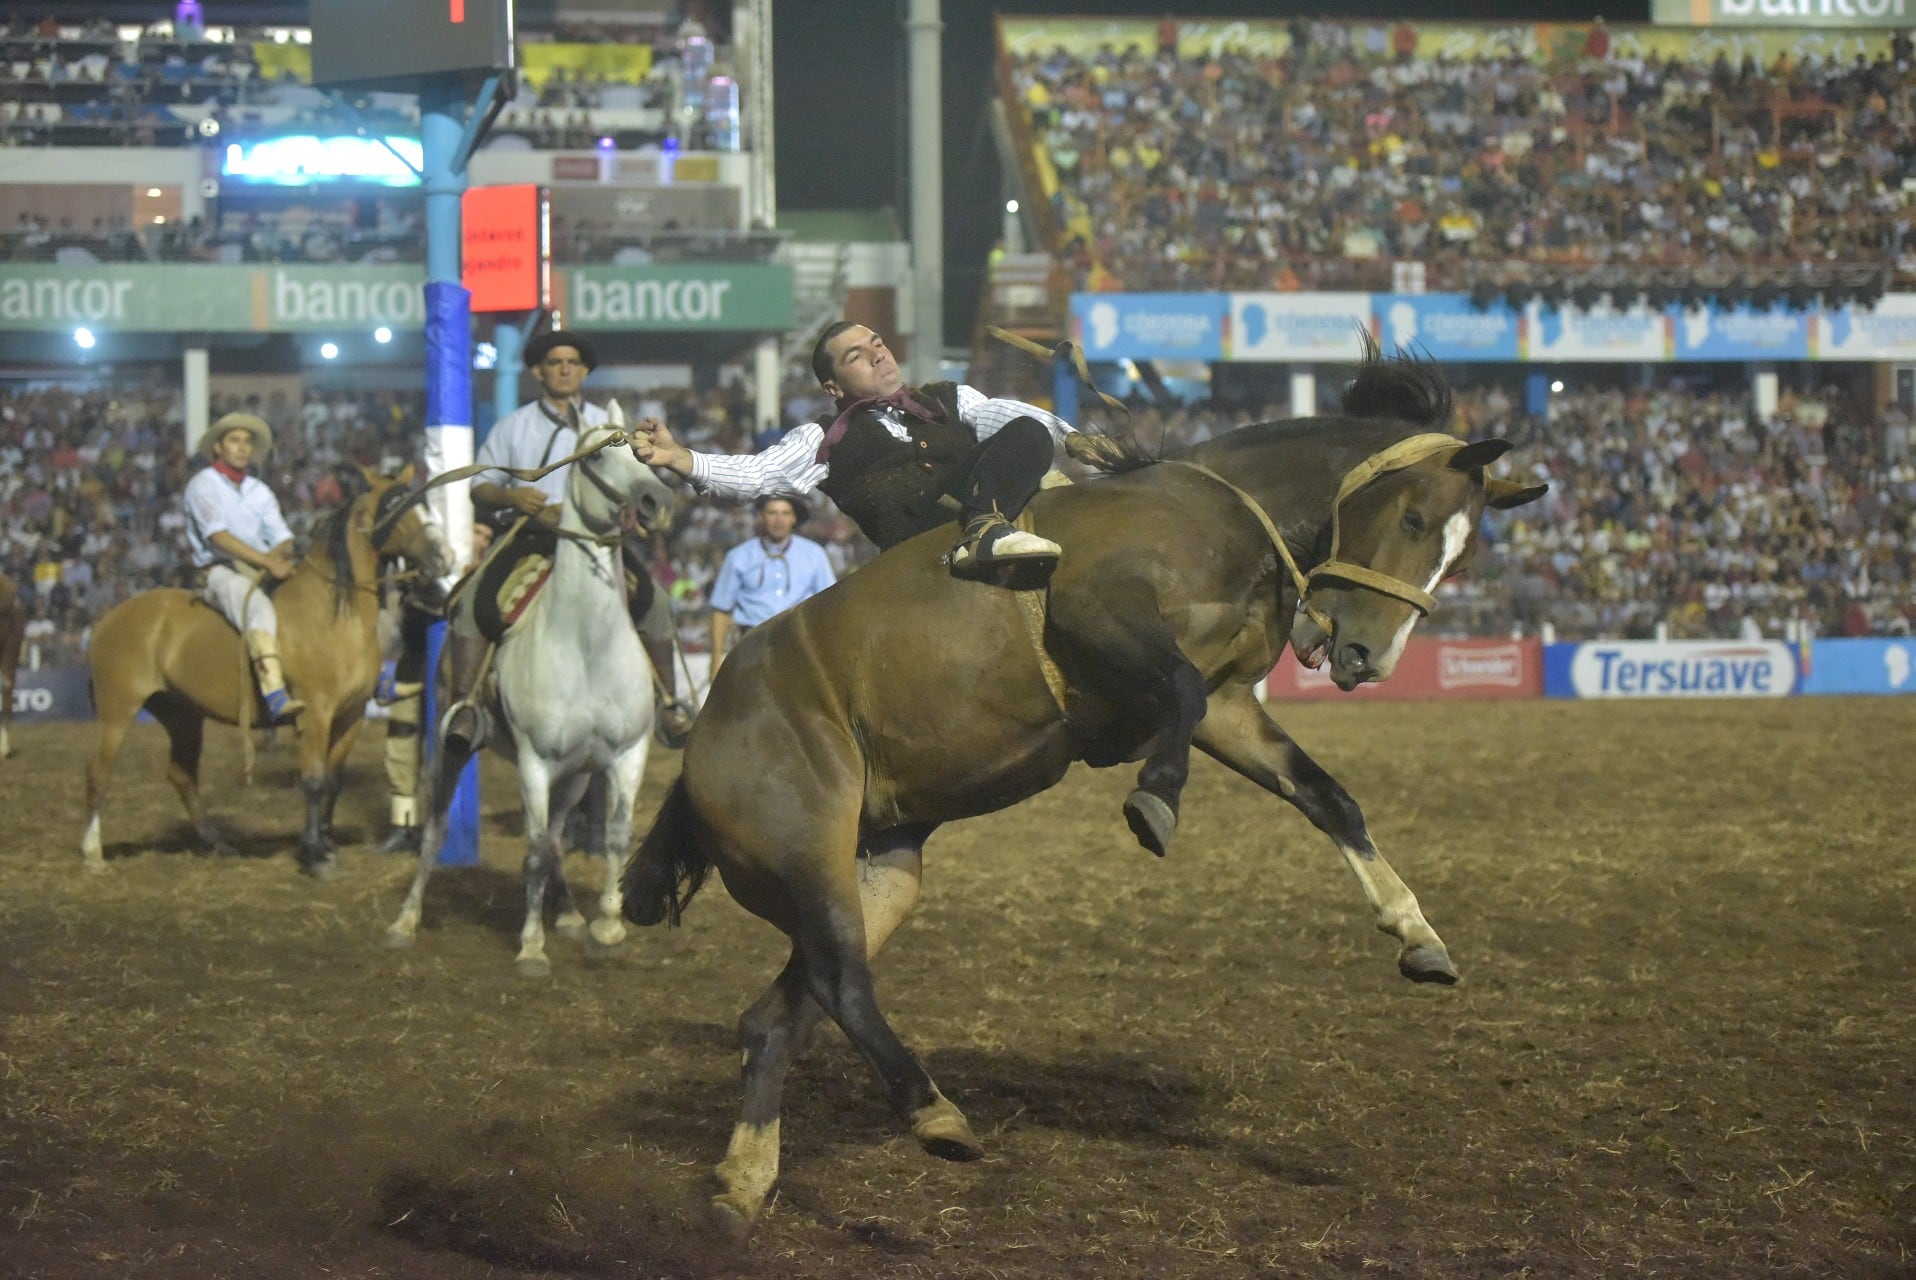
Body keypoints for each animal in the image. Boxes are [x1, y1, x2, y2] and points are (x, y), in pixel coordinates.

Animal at [83, 469, 448, 881]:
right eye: (395, 506)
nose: (443, 556)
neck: (333, 613)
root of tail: (108, 619)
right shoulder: (316, 713)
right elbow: (313, 780)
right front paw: (314, 855)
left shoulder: (350, 716)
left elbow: (334, 781)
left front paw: (327, 844)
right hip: (119, 710)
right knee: (99, 773)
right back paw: (93, 854)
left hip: (183, 716)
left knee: (182, 774)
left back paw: (216, 843)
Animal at [385, 415, 678, 973]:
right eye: (597, 456)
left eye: (641, 453)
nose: (656, 501)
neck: (586, 646)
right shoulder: (534, 761)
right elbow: (535, 850)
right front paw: (531, 947)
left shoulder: (627, 754)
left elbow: (615, 835)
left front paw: (607, 923)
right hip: (453, 751)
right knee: (436, 831)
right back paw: (406, 919)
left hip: (576, 776)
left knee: (562, 838)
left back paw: (568, 915)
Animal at [620, 346, 1548, 1226]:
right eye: (1414, 517)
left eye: (1464, 552)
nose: (1364, 657)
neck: (1218, 515)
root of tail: (706, 732)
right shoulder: (1104, 617)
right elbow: (1176, 697)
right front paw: (1155, 799)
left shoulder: (1229, 706)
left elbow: (1324, 795)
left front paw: (1416, 932)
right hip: (806, 851)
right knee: (842, 987)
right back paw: (934, 1113)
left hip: (874, 873)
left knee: (782, 1014)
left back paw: (743, 1185)